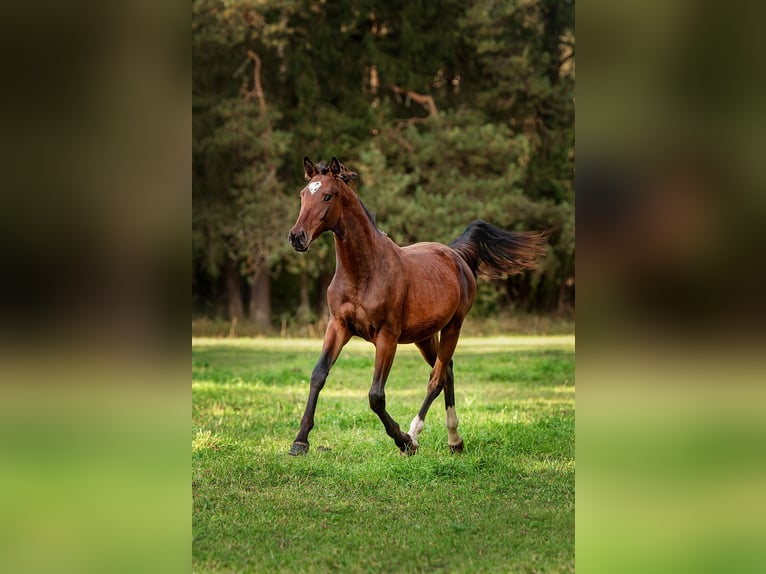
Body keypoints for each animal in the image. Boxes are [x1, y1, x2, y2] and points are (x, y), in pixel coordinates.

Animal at [287, 156, 547, 455]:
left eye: (328, 196)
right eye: (303, 194)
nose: (297, 237)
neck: (364, 272)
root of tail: (456, 254)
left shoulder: (387, 336)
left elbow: (376, 396)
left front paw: (402, 440)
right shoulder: (338, 326)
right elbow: (318, 375)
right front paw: (300, 441)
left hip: (453, 327)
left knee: (437, 378)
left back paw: (420, 434)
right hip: (424, 336)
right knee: (447, 371)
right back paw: (454, 441)